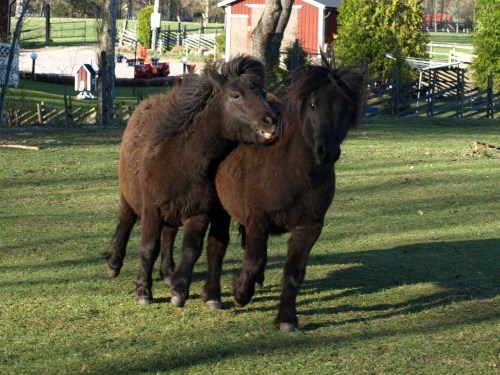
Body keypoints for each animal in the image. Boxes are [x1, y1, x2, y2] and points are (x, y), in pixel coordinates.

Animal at [106, 56, 278, 308]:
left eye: (263, 93)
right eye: (235, 95)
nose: (271, 121)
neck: (183, 159)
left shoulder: (198, 212)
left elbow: (191, 250)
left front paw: (180, 291)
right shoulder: (152, 210)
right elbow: (148, 248)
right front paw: (143, 291)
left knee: (169, 234)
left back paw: (168, 272)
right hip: (129, 198)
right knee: (126, 222)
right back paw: (114, 263)